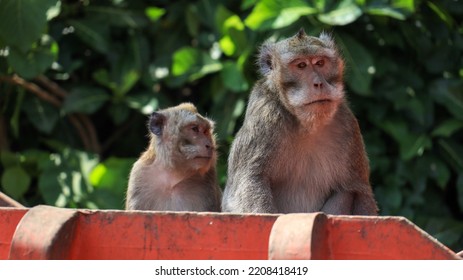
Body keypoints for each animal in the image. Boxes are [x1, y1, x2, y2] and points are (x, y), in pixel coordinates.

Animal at [223, 29, 378, 214]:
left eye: (320, 63)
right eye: (301, 66)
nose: (318, 83)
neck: (307, 124)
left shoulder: (347, 123)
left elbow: (360, 190)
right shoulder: (265, 114)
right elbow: (251, 180)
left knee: (347, 192)